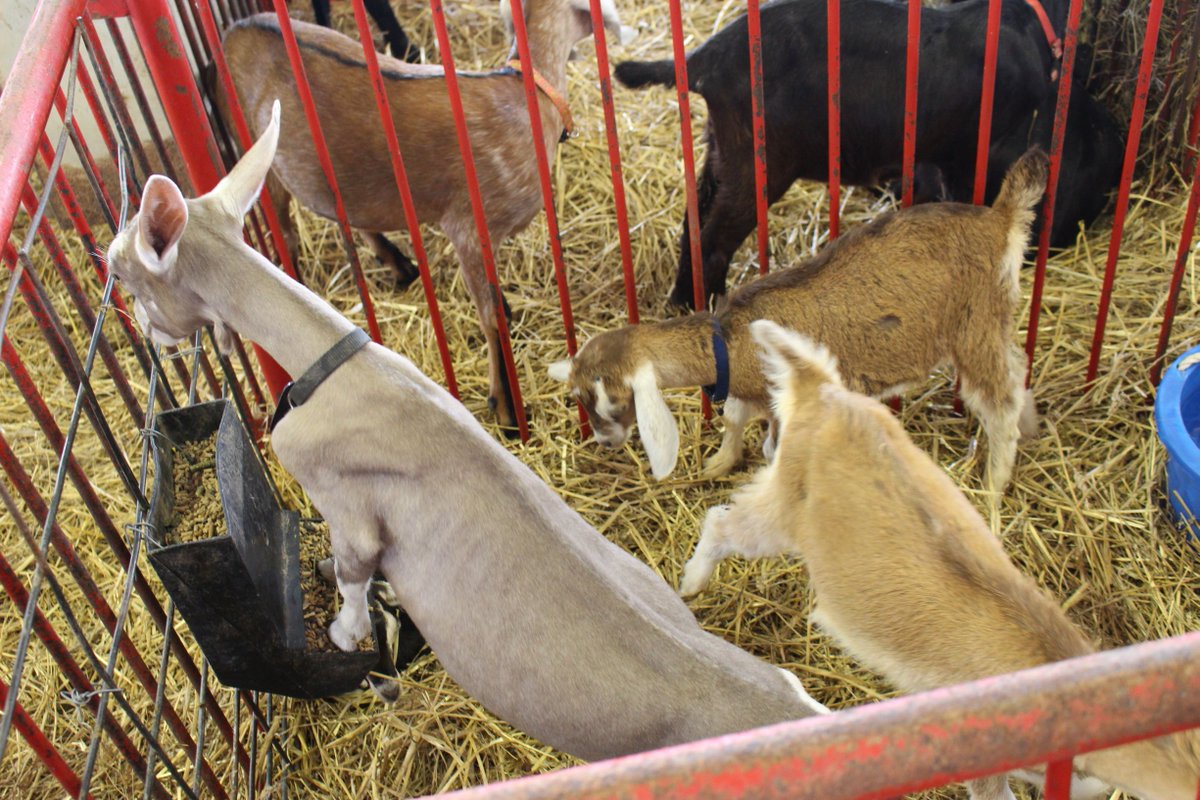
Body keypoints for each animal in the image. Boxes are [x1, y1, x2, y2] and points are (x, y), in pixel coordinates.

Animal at [103, 102, 830, 762]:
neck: (334, 361)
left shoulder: (344, 503)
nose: (147, 332)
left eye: (119, 267)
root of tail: (792, 708)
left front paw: (343, 634)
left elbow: (353, 572)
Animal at [218, 0, 632, 434]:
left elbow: (495, 304)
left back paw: (400, 265)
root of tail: (234, 32)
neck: (526, 94)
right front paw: (506, 409)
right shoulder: (469, 227)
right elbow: (490, 318)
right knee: (284, 231)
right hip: (257, 157)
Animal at [549, 149, 1048, 492]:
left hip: (973, 325)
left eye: (614, 400)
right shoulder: (753, 392)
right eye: (579, 396)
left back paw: (994, 485)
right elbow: (733, 417)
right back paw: (1030, 429)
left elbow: (773, 449)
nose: (604, 442)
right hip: (995, 318)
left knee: (997, 402)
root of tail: (1001, 220)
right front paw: (719, 464)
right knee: (1016, 368)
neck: (728, 342)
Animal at [613, 0, 1073, 307]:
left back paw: (690, 302)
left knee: (695, 218)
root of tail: (703, 58)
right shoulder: (973, 155)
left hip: (721, 149)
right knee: (713, 237)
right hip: (761, 160)